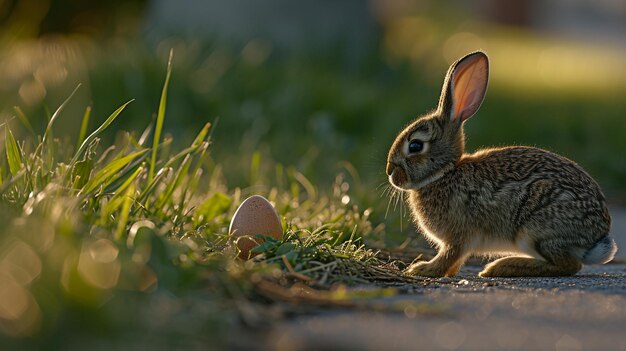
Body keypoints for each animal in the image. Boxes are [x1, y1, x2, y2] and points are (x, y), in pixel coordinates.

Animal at [386, 51, 616, 278]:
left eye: (415, 146)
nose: (390, 172)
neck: (445, 172)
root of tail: (597, 237)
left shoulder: (459, 237)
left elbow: (449, 255)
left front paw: (422, 269)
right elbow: (455, 262)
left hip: (535, 229)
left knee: (568, 265)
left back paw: (500, 267)